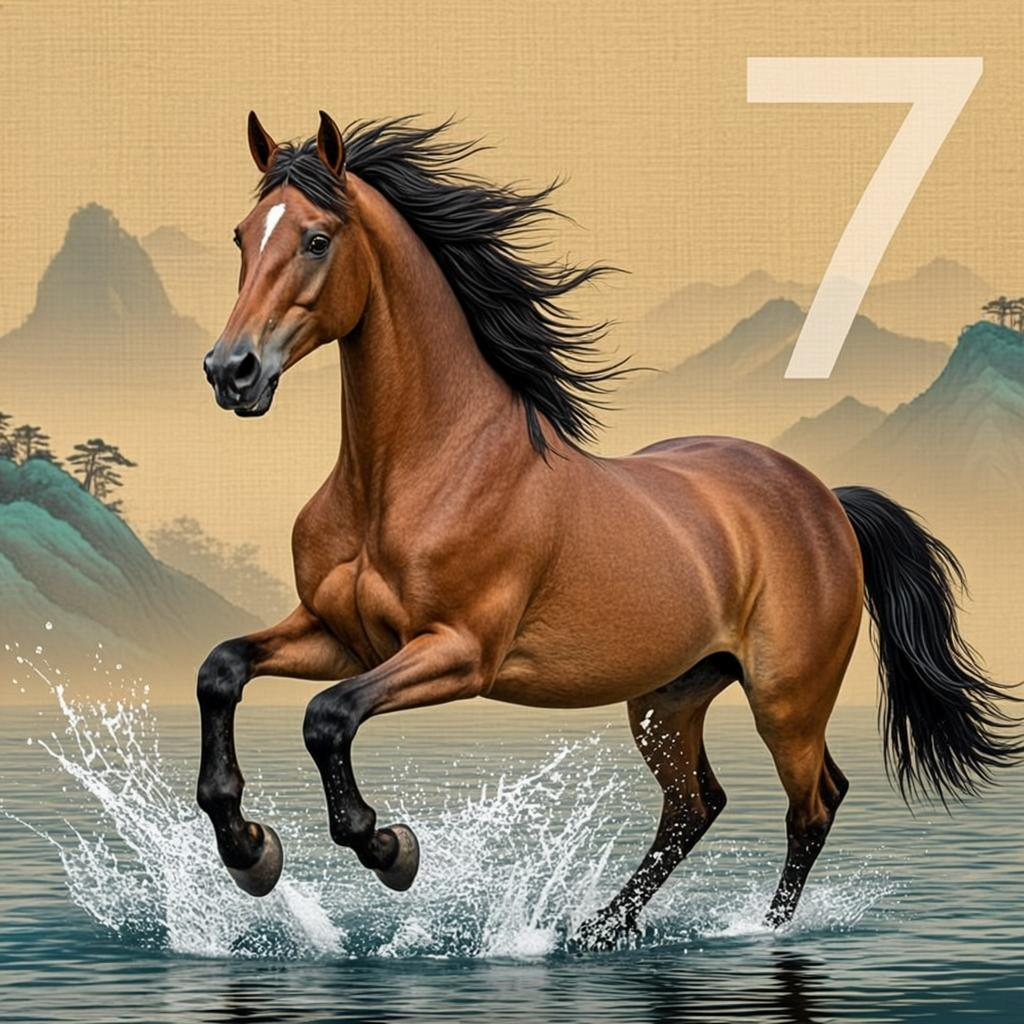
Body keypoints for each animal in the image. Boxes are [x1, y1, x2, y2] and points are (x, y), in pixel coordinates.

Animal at [195, 111, 1020, 948]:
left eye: (317, 238)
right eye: (241, 235)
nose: (231, 371)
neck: (409, 476)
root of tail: (824, 497)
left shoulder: (458, 653)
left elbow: (327, 717)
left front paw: (389, 848)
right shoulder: (342, 636)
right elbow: (222, 670)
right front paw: (249, 850)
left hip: (786, 700)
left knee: (813, 803)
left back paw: (761, 932)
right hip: (669, 697)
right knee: (695, 805)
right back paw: (596, 931)